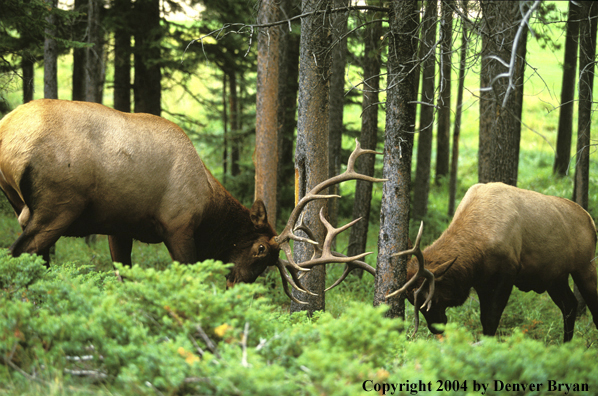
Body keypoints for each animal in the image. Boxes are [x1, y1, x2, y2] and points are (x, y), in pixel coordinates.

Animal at [0, 100, 384, 304]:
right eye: (260, 249)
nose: (236, 288)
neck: (209, 208)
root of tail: (9, 137)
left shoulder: (119, 227)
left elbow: (124, 274)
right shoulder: (178, 224)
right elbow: (187, 274)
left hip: (21, 205)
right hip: (58, 204)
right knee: (20, 252)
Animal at [390, 183, 598, 340]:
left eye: (430, 298)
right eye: (411, 300)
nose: (436, 328)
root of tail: (591, 222)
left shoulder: (507, 274)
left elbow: (491, 319)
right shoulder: (482, 282)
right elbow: (484, 319)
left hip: (585, 267)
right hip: (555, 277)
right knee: (569, 305)